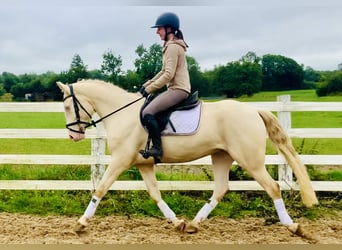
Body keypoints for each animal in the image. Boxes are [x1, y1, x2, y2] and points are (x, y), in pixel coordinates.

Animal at [55, 79, 318, 235]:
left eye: (67, 107)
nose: (73, 135)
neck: (122, 114)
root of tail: (253, 110)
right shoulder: (143, 165)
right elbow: (155, 194)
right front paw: (177, 222)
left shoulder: (121, 160)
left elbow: (100, 189)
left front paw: (80, 223)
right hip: (221, 156)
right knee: (221, 189)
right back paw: (193, 224)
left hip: (250, 160)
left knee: (273, 187)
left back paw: (292, 226)